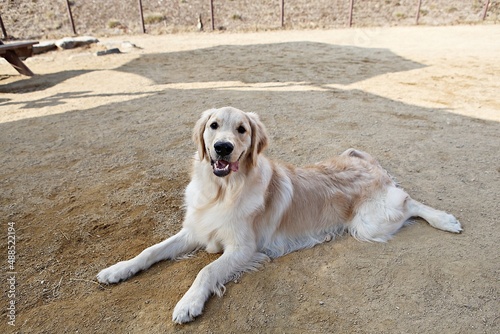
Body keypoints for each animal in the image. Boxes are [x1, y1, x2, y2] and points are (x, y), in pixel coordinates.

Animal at [95, 106, 462, 324]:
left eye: (242, 129)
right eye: (213, 126)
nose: (223, 147)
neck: (223, 190)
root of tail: (362, 159)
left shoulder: (244, 248)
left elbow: (206, 271)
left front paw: (189, 302)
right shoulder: (195, 230)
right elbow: (150, 251)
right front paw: (118, 270)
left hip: (368, 223)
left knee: (410, 202)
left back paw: (446, 220)